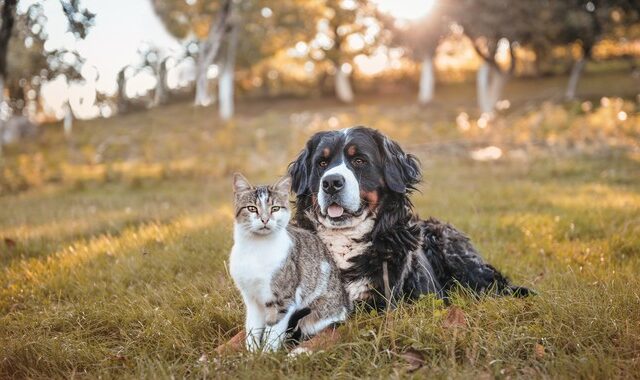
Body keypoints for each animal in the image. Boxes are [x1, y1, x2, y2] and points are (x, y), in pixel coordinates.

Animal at [229, 174, 350, 352]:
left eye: (275, 209)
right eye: (252, 208)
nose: (265, 219)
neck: (256, 248)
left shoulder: (283, 300)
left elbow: (272, 333)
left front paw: (266, 355)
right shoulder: (251, 299)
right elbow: (252, 328)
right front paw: (252, 353)